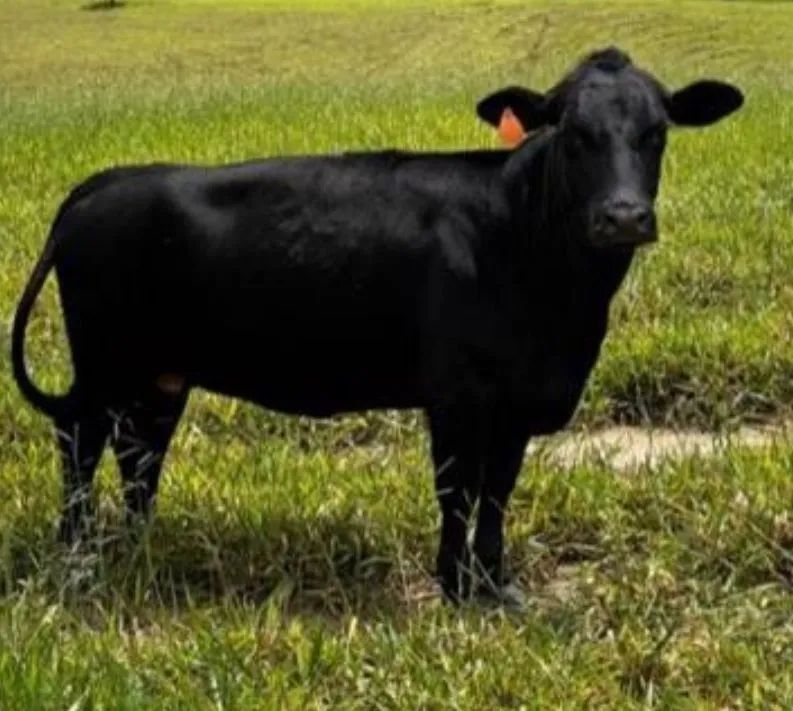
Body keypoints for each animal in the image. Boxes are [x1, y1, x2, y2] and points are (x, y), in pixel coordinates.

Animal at [12, 48, 743, 605]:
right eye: (569, 132)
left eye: (657, 131)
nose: (622, 217)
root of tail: (103, 183)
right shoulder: (456, 393)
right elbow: (457, 489)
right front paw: (454, 587)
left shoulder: (518, 401)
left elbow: (498, 491)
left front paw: (496, 584)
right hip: (104, 365)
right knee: (79, 443)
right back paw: (79, 559)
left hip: (160, 376)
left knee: (138, 455)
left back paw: (139, 548)